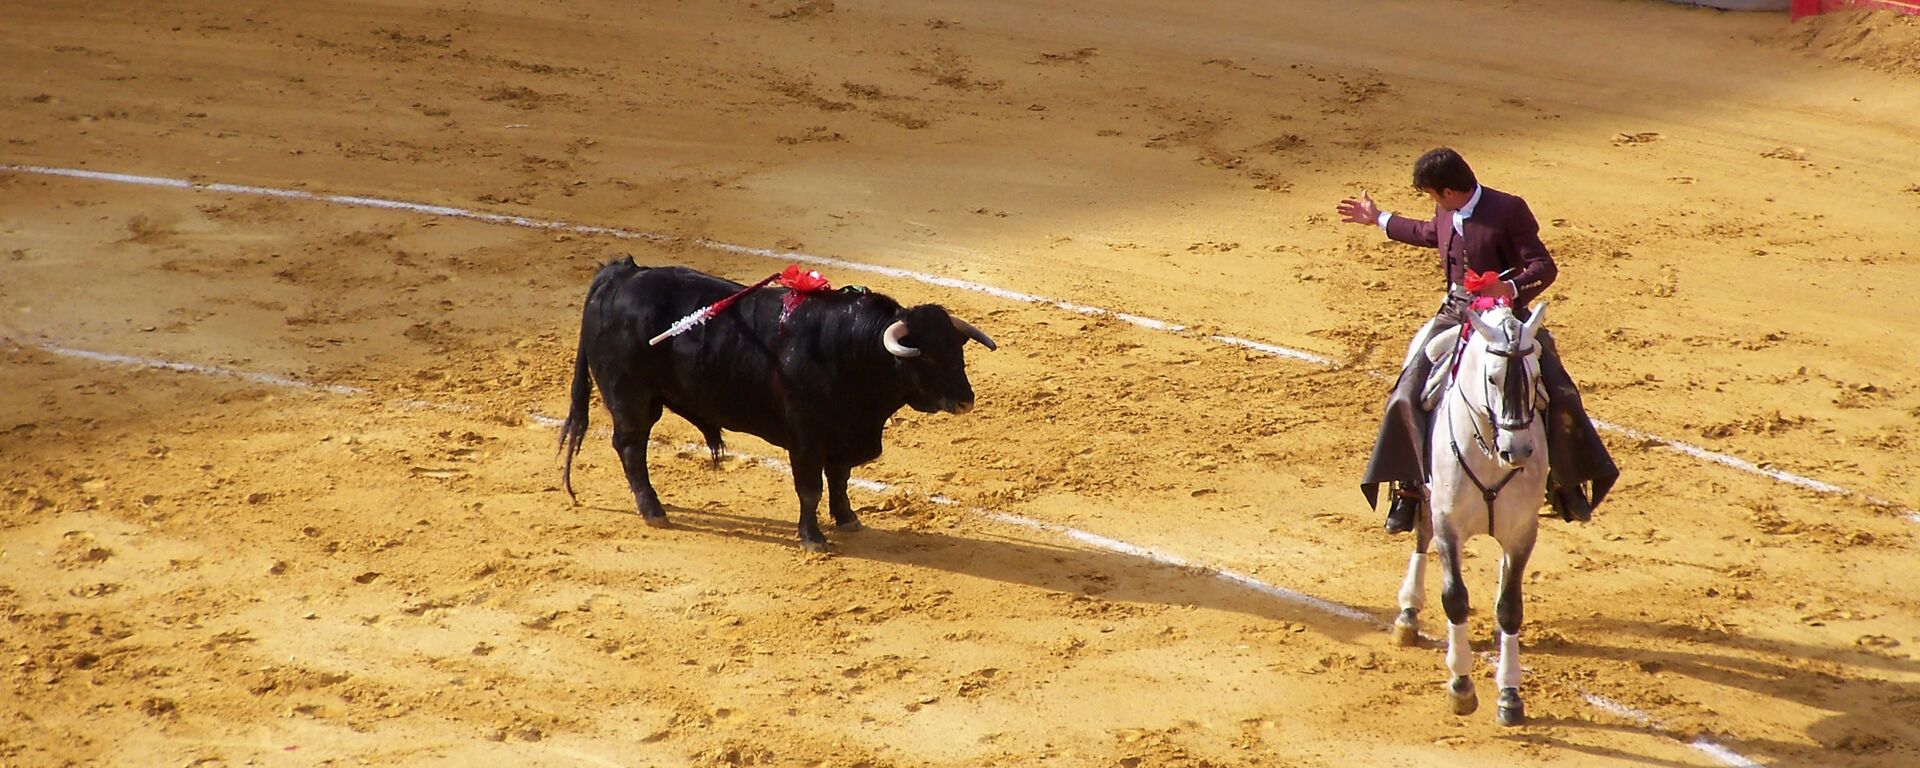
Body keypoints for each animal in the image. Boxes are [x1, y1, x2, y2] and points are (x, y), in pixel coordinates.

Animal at [560, 261, 998, 549]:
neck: (849, 349)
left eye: (958, 351)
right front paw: (812, 538)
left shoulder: (842, 435)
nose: (966, 400)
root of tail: (621, 274)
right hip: (632, 398)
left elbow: (839, 479)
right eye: (926, 357)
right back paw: (653, 510)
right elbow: (810, 488)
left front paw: (847, 519)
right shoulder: (806, 439)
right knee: (631, 447)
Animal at [1390, 301, 1551, 725]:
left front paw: (1510, 695)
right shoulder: (1449, 525)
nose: (1518, 450)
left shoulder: (1522, 533)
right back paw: (1408, 612)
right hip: (1426, 494)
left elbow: (1510, 607)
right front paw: (1460, 686)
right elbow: (1455, 599)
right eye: (1492, 378)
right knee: (1421, 532)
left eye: (1535, 376)